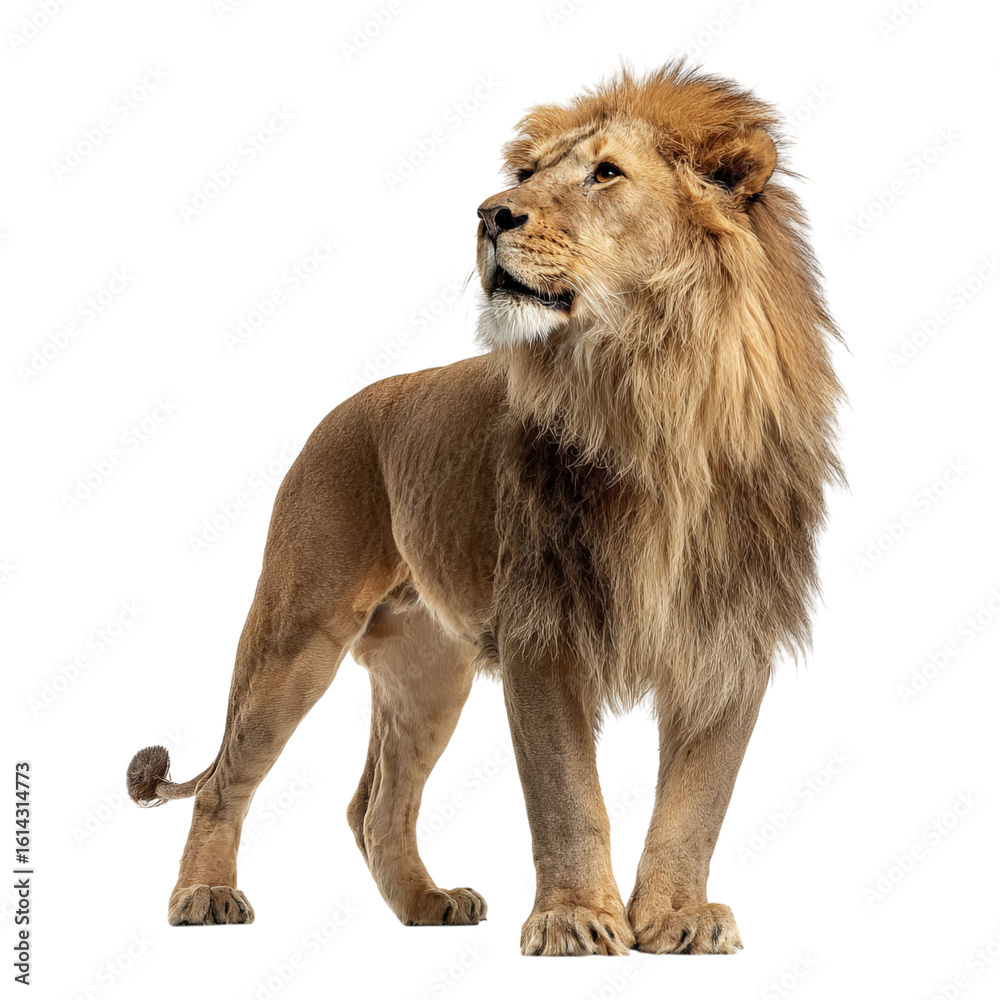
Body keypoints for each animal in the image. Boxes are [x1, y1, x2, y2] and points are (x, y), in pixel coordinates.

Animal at [126, 63, 843, 956]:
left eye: (606, 174)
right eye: (528, 175)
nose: (490, 213)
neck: (653, 393)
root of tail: (348, 406)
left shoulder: (731, 635)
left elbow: (697, 802)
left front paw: (678, 917)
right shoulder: (545, 631)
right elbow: (567, 797)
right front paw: (575, 918)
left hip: (429, 670)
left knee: (375, 805)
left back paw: (428, 903)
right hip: (297, 629)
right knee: (226, 779)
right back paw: (205, 896)